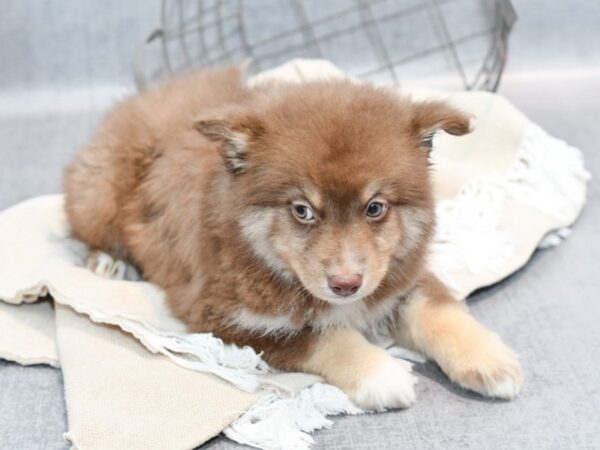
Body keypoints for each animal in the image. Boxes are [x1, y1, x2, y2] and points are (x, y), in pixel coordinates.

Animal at [65, 67, 524, 412]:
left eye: (375, 207)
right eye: (302, 210)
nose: (345, 285)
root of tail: (139, 98)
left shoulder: (399, 276)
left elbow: (437, 308)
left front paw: (488, 358)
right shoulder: (228, 319)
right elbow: (324, 336)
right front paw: (382, 374)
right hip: (98, 193)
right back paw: (106, 261)